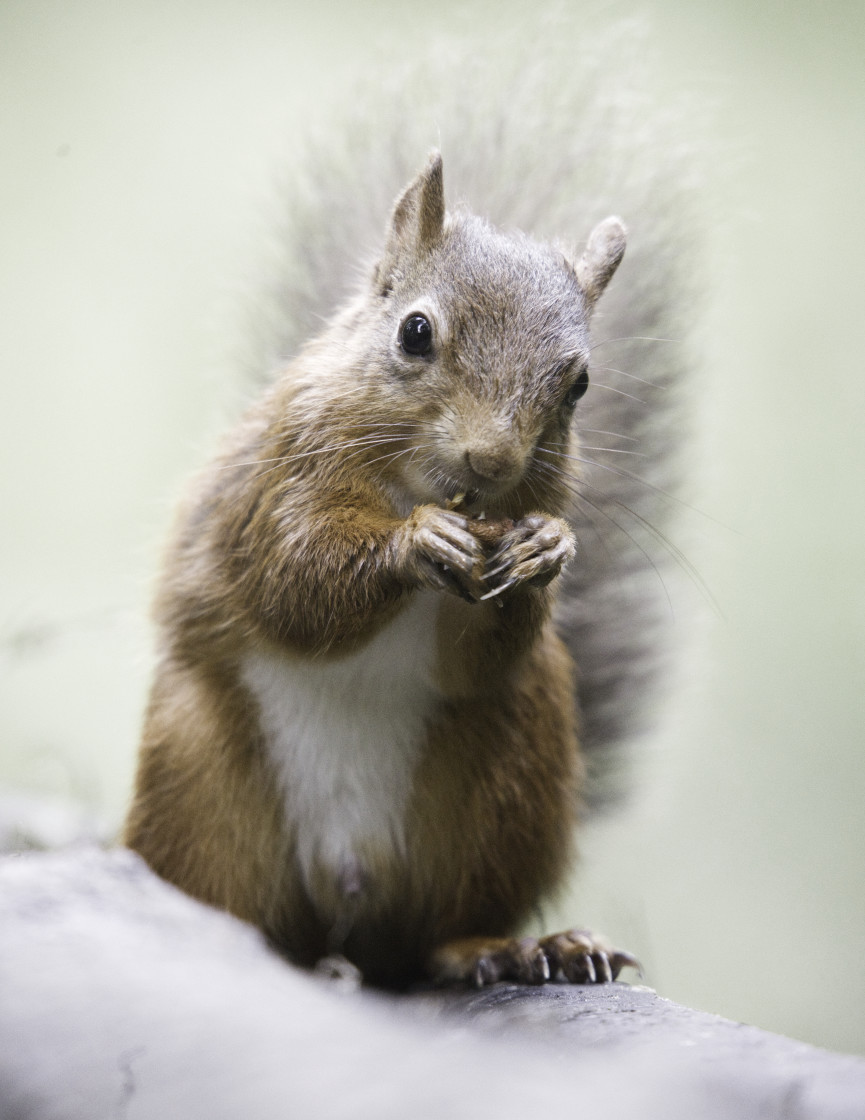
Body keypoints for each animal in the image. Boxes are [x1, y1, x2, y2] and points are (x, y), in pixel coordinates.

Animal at [121, 28, 694, 990]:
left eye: (579, 384)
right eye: (414, 332)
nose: (491, 460)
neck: (420, 487)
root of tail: (348, 898)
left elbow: (477, 656)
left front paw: (545, 549)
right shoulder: (274, 486)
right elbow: (294, 582)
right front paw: (413, 544)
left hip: (508, 777)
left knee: (436, 933)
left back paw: (515, 947)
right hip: (201, 782)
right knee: (226, 896)